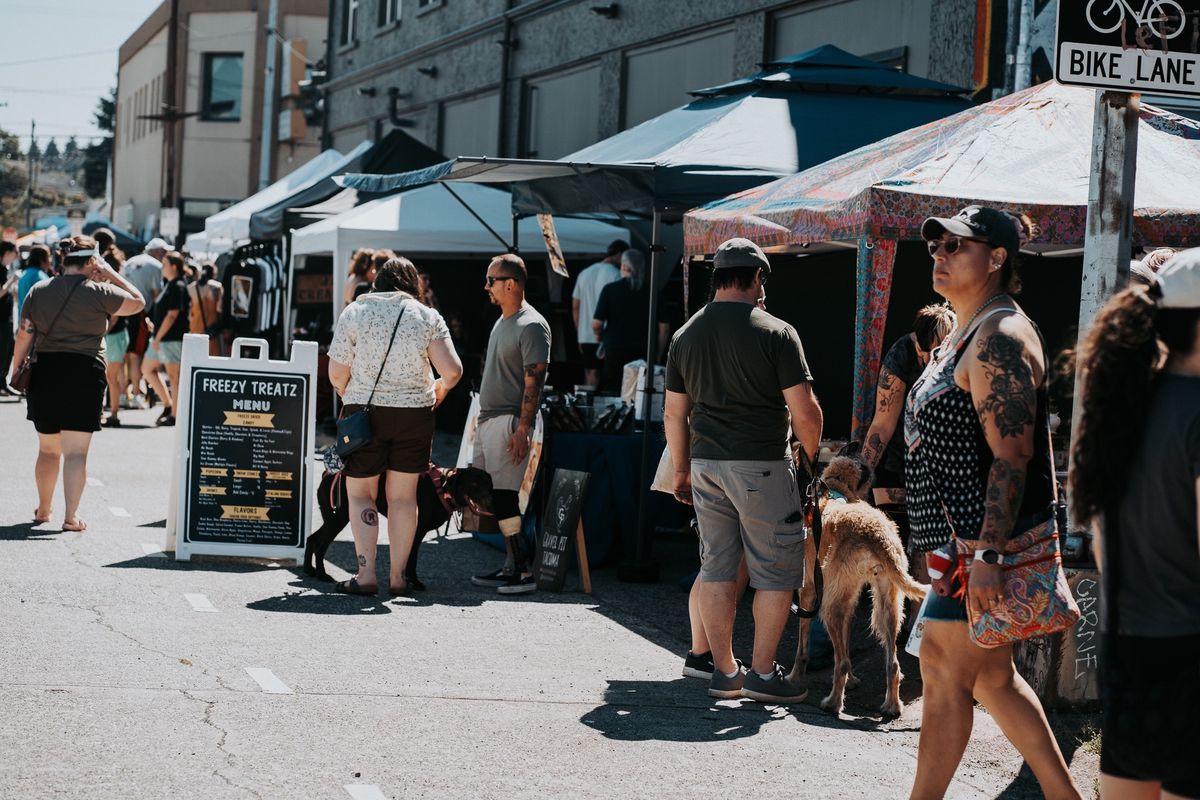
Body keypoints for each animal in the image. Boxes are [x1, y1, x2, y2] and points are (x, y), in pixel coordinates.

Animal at [304, 465, 492, 592]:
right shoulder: (417, 531)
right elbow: (411, 559)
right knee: (320, 543)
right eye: (474, 483)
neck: (442, 488)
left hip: (334, 517)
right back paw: (322, 575)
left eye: (488, 484)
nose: (489, 499)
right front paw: (414, 583)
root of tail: (328, 474)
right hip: (338, 517)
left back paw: (309, 570)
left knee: (312, 538)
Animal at [787, 455, 926, 719]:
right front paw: (852, 681)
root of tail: (878, 535)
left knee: (840, 663)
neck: (835, 492)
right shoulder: (848, 600)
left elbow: (802, 646)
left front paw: (794, 678)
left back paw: (832, 703)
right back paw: (892, 706)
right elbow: (846, 641)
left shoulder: (808, 592)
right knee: (892, 664)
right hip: (887, 603)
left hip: (829, 608)